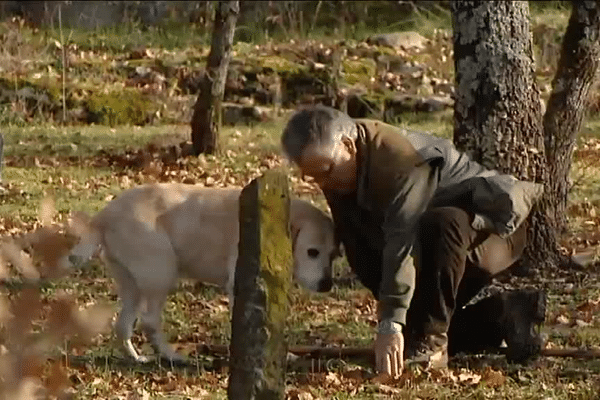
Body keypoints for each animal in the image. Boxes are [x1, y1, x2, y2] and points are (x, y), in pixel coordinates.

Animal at [63, 182, 340, 362]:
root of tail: (103, 216)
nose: (327, 284)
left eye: (334, 255)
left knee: (122, 326)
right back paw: (173, 356)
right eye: (312, 252)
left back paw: (136, 358)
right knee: (150, 321)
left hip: (133, 286)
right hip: (161, 273)